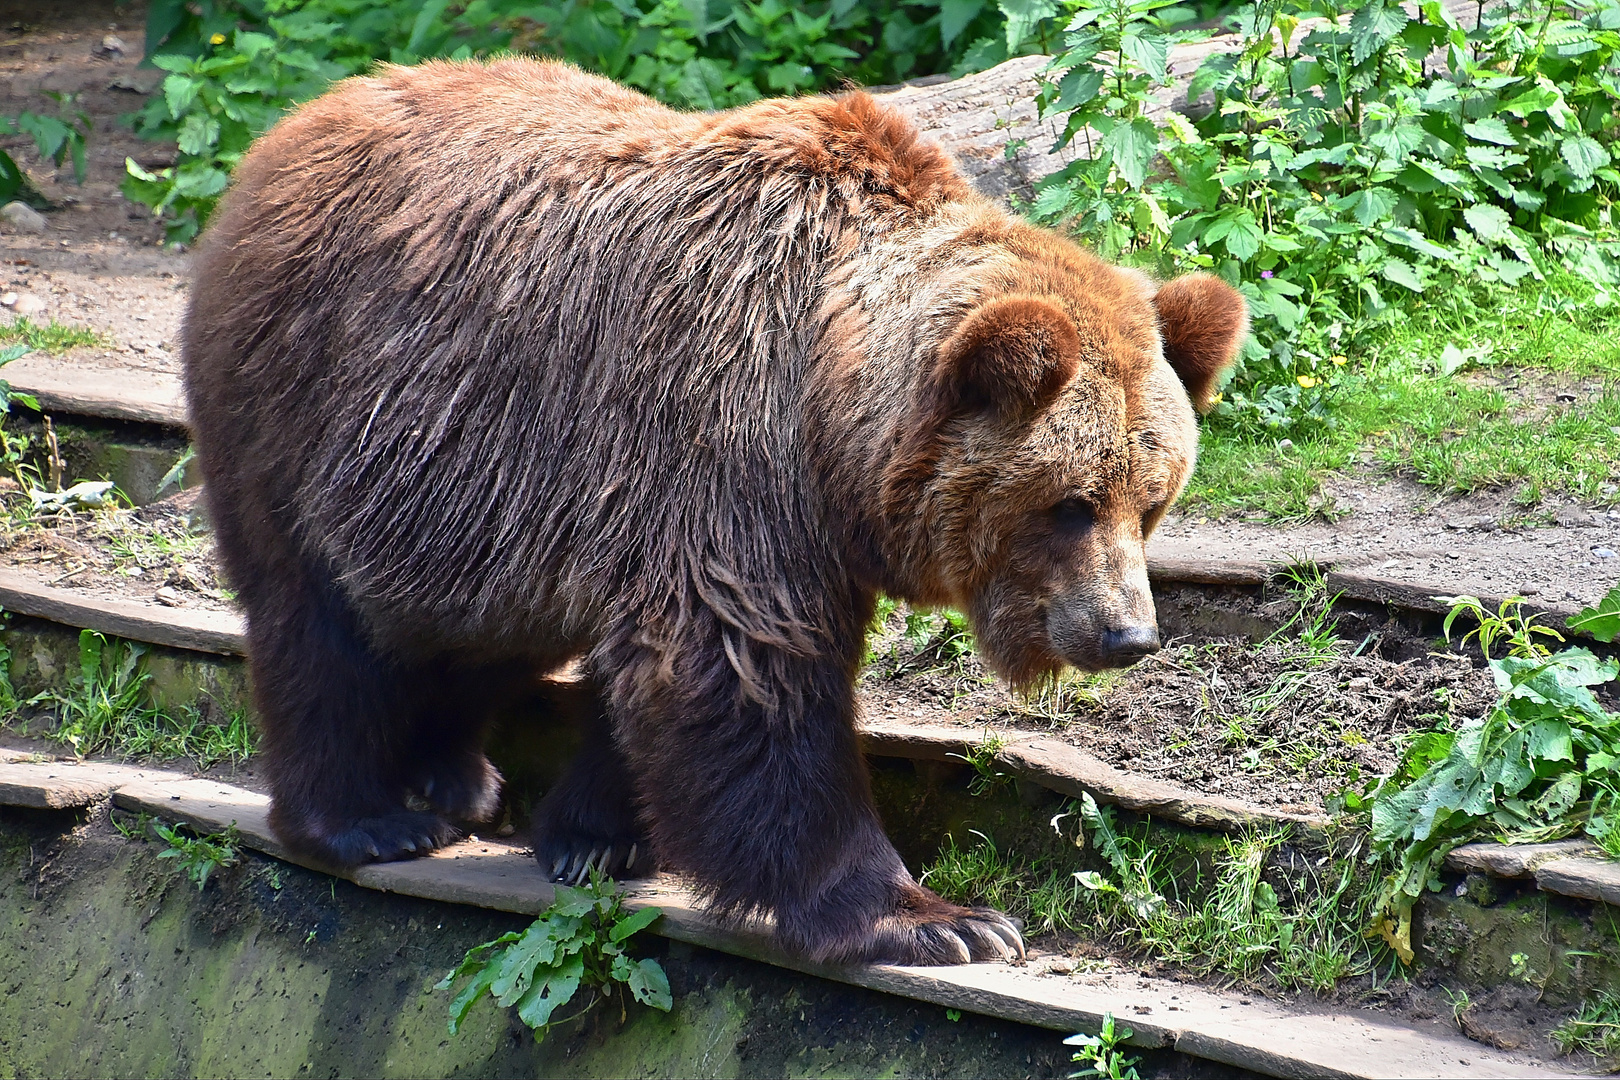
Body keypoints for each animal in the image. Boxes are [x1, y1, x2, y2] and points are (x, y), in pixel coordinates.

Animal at [183, 59, 1244, 965]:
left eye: (1153, 502)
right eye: (1070, 504)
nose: (1127, 634)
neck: (826, 404)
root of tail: (289, 132)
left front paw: (595, 835)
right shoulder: (720, 441)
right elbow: (742, 675)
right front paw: (937, 918)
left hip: (466, 490)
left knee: (468, 628)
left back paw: (457, 781)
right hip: (316, 404)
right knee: (320, 625)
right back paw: (366, 816)